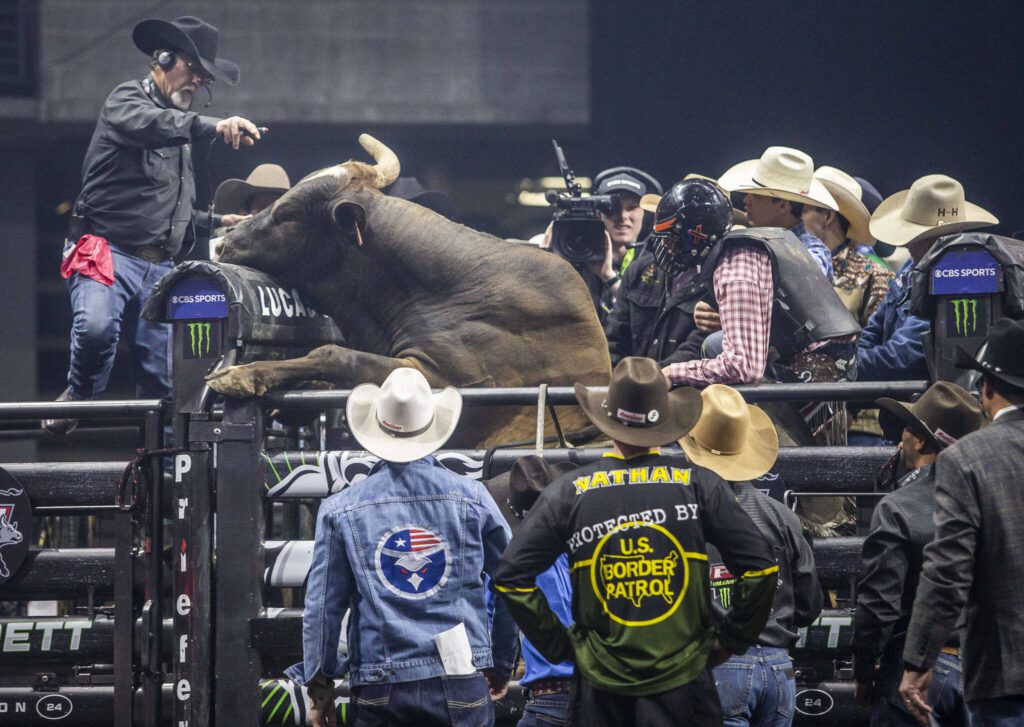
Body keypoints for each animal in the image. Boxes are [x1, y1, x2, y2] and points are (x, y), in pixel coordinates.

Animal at [204, 134, 610, 446]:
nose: (223, 243)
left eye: (288, 214)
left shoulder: (444, 381)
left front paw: (242, 374)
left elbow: (333, 353)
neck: (451, 292)